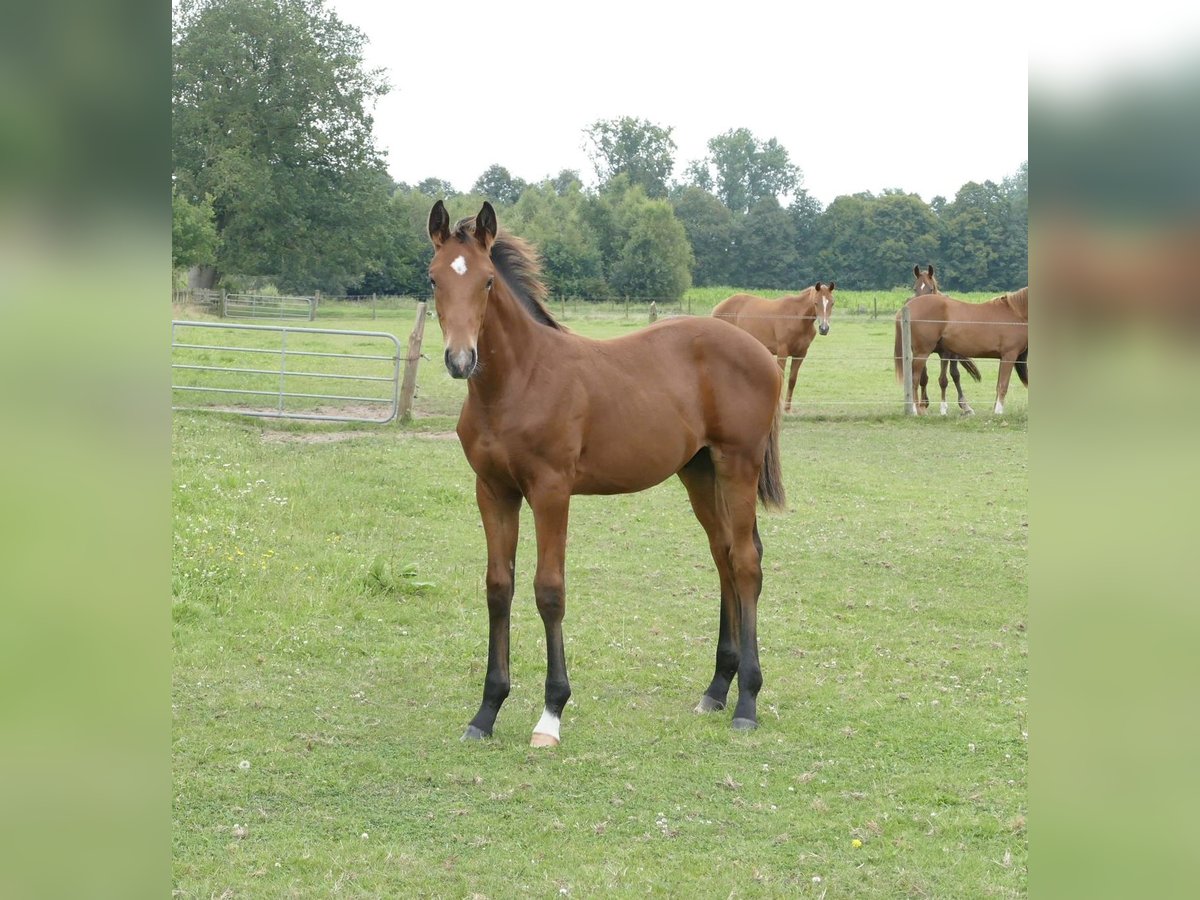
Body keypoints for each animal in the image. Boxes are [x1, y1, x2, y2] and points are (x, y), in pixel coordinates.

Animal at [429, 200, 787, 748]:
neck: (520, 381)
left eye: (488, 281)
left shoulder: (551, 490)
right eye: (433, 279)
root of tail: (761, 352)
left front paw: (551, 714)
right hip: (699, 471)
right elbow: (498, 588)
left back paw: (746, 701)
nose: (460, 359)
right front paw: (486, 712)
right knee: (725, 555)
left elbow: (549, 590)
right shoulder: (492, 490)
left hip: (737, 463)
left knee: (746, 562)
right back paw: (716, 690)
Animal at [710, 280, 835, 415]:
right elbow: (781, 378)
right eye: (816, 303)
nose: (824, 328)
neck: (796, 317)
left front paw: (787, 409)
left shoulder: (800, 354)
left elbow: (792, 380)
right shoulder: (782, 351)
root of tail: (718, 308)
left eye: (832, 303)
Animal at [897, 283, 1027, 417]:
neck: (1016, 313)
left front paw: (995, 411)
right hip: (922, 353)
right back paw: (915, 410)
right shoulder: (1009, 355)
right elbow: (1003, 385)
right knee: (914, 379)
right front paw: (999, 412)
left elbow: (998, 385)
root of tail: (908, 307)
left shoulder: (1002, 358)